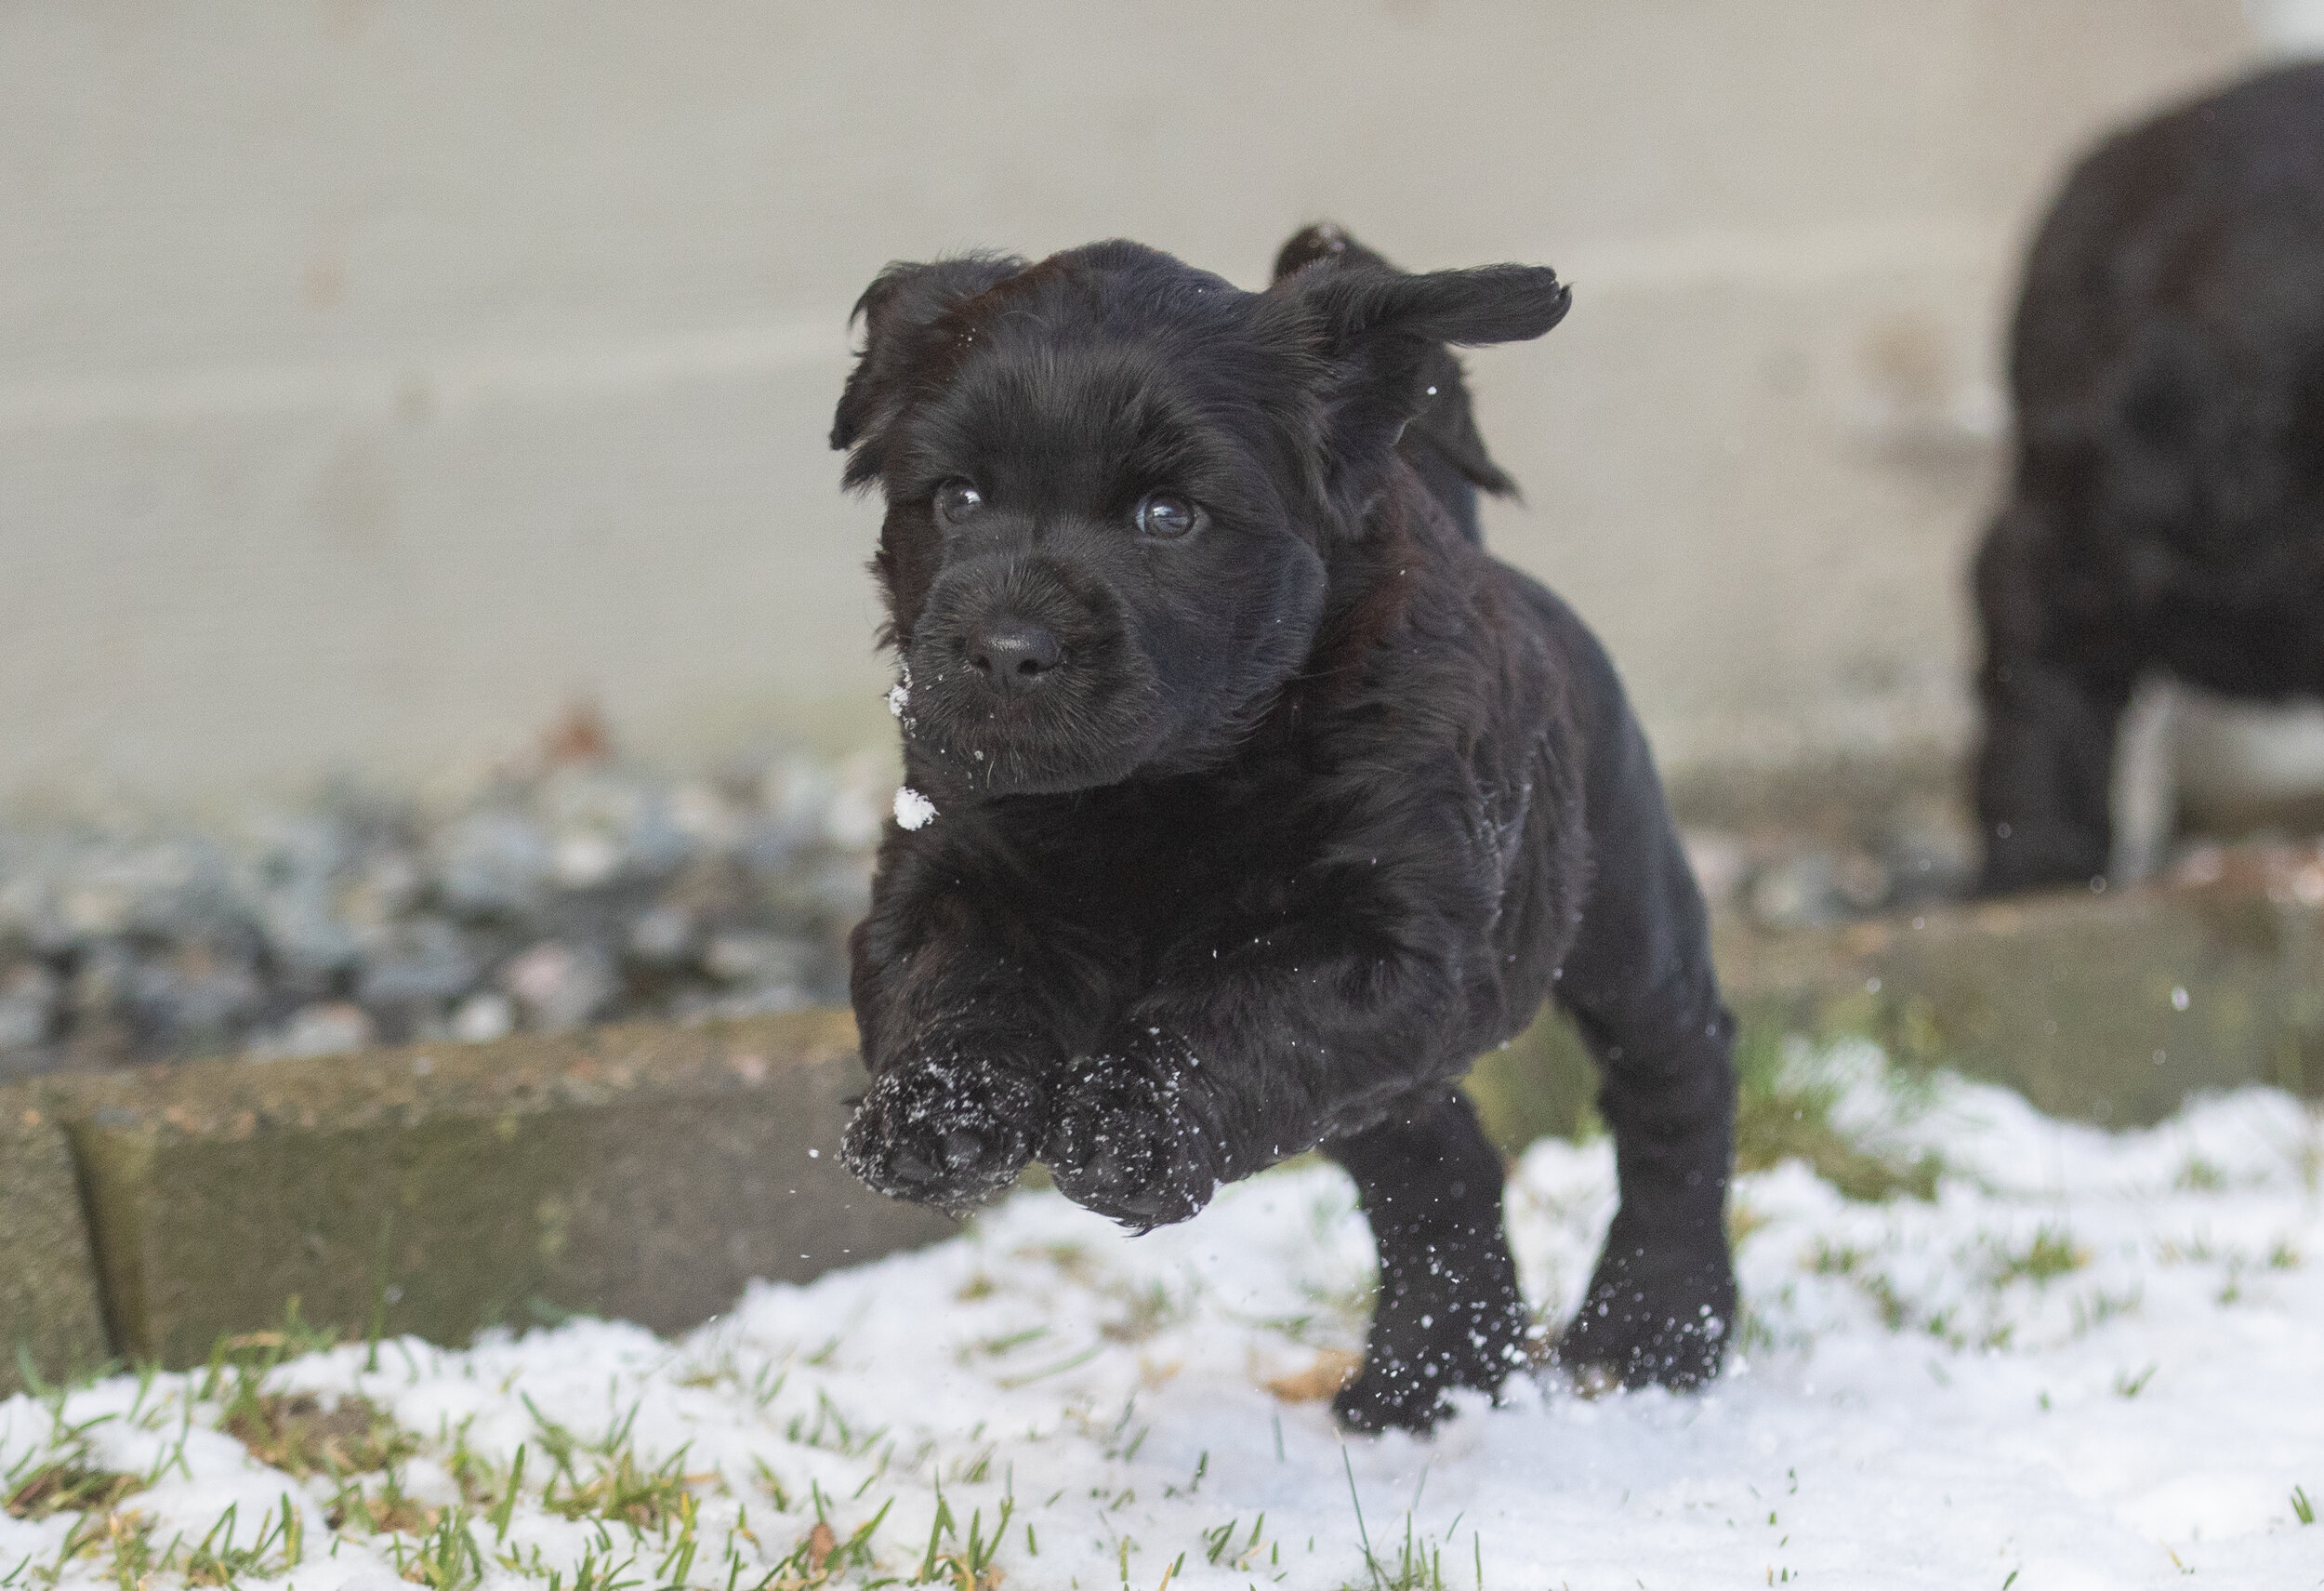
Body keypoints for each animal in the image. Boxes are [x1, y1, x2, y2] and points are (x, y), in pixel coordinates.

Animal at [841, 226, 1748, 1432]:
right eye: (956, 497)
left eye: (1168, 516)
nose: (1002, 649)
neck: (1153, 792)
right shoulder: (947, 868)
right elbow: (951, 984)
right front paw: (935, 1118)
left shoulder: (1387, 945)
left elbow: (1233, 1013)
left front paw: (1124, 1123)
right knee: (1439, 1166)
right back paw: (1427, 1378)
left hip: (1622, 907)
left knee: (1675, 1073)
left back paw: (1656, 1326)